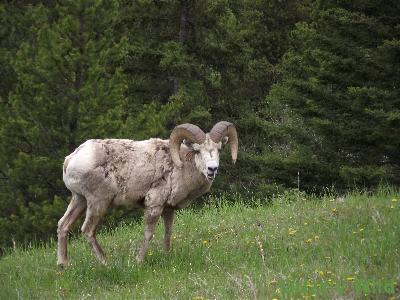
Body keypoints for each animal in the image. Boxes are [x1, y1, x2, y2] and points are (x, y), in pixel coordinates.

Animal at [56, 120, 238, 266]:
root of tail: (70, 160)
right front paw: (139, 261)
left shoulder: (168, 209)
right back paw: (106, 263)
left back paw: (64, 265)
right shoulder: (154, 205)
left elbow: (168, 233)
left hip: (79, 199)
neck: (180, 167)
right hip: (98, 202)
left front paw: (167, 255)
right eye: (198, 150)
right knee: (87, 231)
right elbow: (148, 234)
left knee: (63, 225)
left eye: (219, 149)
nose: (212, 169)